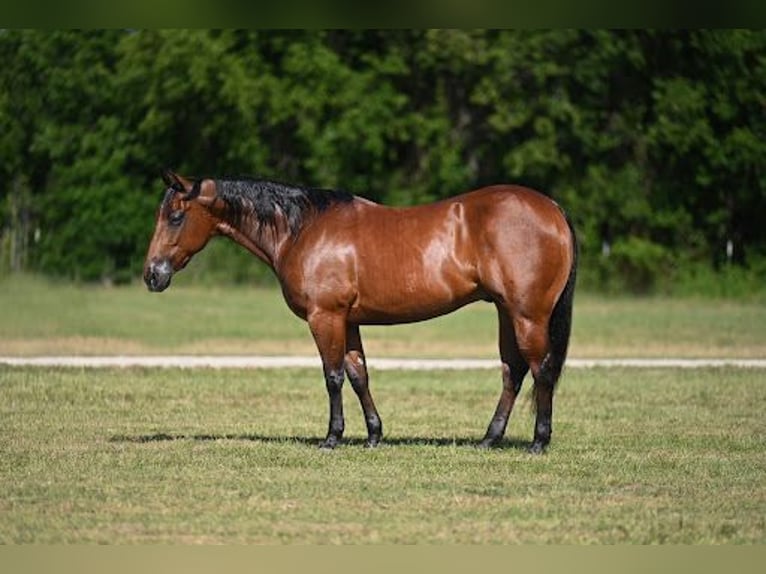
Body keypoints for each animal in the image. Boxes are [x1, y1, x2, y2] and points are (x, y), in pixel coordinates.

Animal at [144, 170, 578, 453]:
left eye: (176, 216)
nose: (152, 275)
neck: (303, 228)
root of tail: (552, 209)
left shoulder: (325, 317)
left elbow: (333, 376)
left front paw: (332, 437)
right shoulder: (347, 321)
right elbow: (358, 375)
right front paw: (373, 434)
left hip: (527, 315)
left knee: (540, 370)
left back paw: (538, 441)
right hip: (507, 312)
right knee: (513, 372)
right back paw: (489, 438)